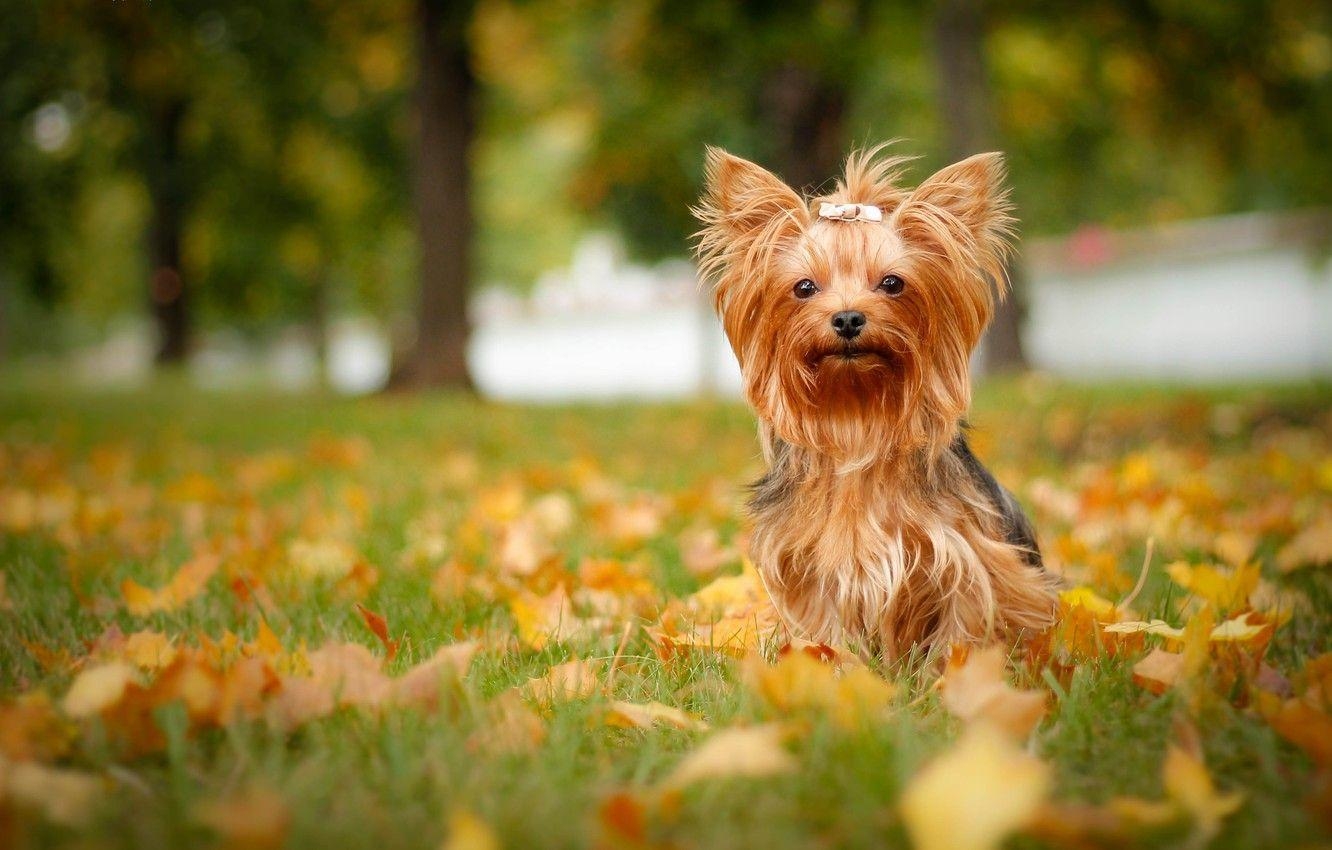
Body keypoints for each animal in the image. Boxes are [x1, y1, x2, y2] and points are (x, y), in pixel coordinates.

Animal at [692, 145, 1054, 660]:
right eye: (804, 287)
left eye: (892, 283)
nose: (847, 318)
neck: (856, 419)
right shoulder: (809, 569)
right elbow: (825, 629)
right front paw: (835, 664)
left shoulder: (968, 558)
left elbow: (964, 623)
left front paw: (955, 675)